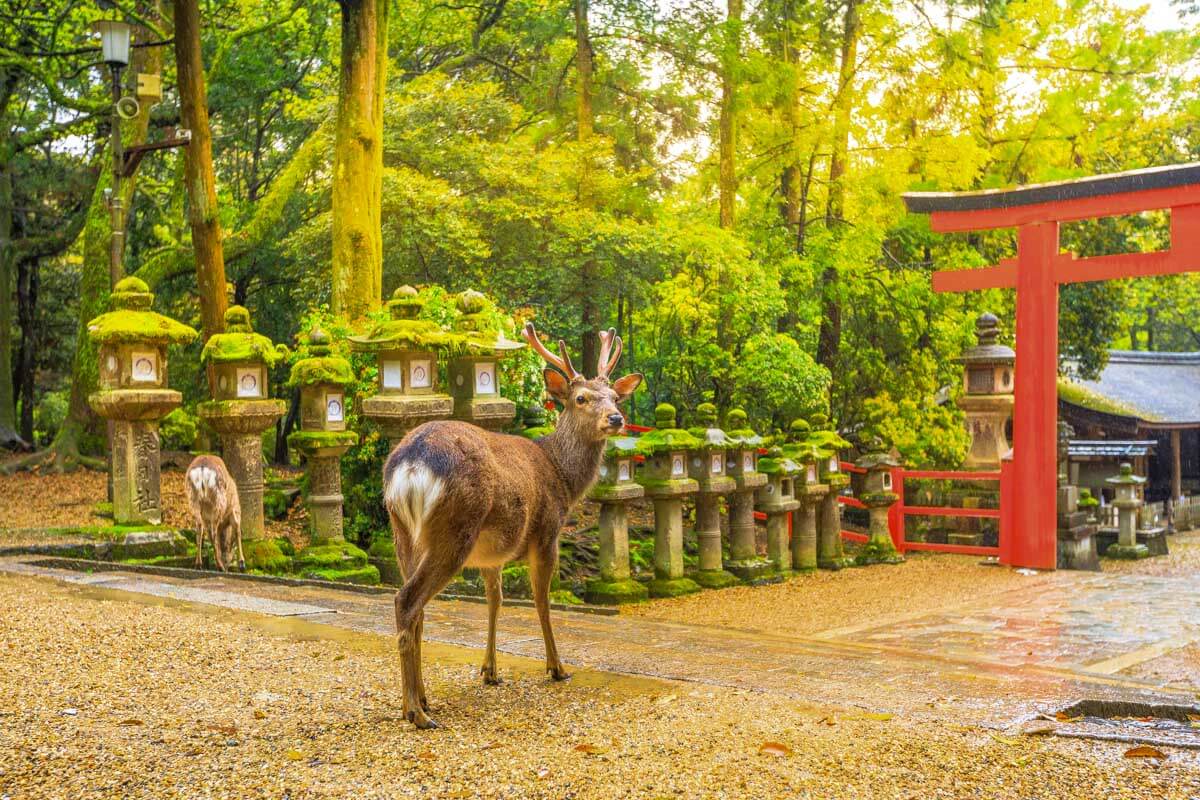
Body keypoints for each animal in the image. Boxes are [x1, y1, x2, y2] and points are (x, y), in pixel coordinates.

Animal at [383, 322, 641, 729]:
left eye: (615, 396)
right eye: (581, 398)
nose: (615, 419)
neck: (562, 476)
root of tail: (410, 465)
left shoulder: (492, 555)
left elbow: (495, 601)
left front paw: (489, 671)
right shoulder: (548, 531)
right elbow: (541, 601)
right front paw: (557, 667)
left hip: (402, 531)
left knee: (416, 608)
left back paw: (423, 699)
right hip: (455, 528)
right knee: (406, 600)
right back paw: (416, 712)